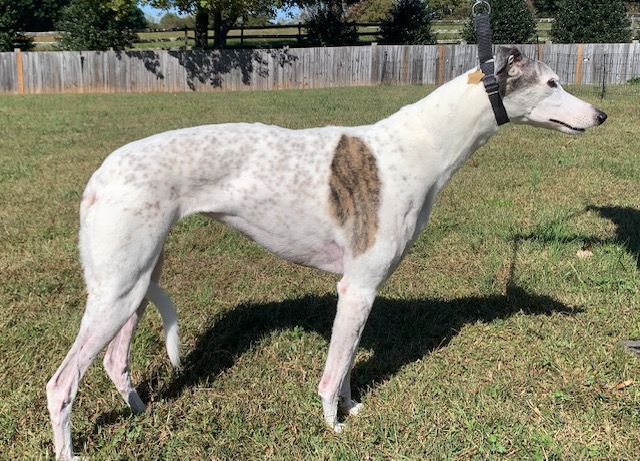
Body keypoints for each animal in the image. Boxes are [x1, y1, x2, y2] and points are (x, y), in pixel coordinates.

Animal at [46, 46, 607, 459]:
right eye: (552, 83)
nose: (602, 115)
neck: (420, 145)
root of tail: (100, 175)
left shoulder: (363, 290)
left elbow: (350, 361)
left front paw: (351, 407)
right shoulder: (357, 286)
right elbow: (335, 367)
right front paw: (333, 426)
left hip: (136, 282)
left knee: (115, 362)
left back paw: (141, 413)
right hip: (118, 291)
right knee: (61, 384)